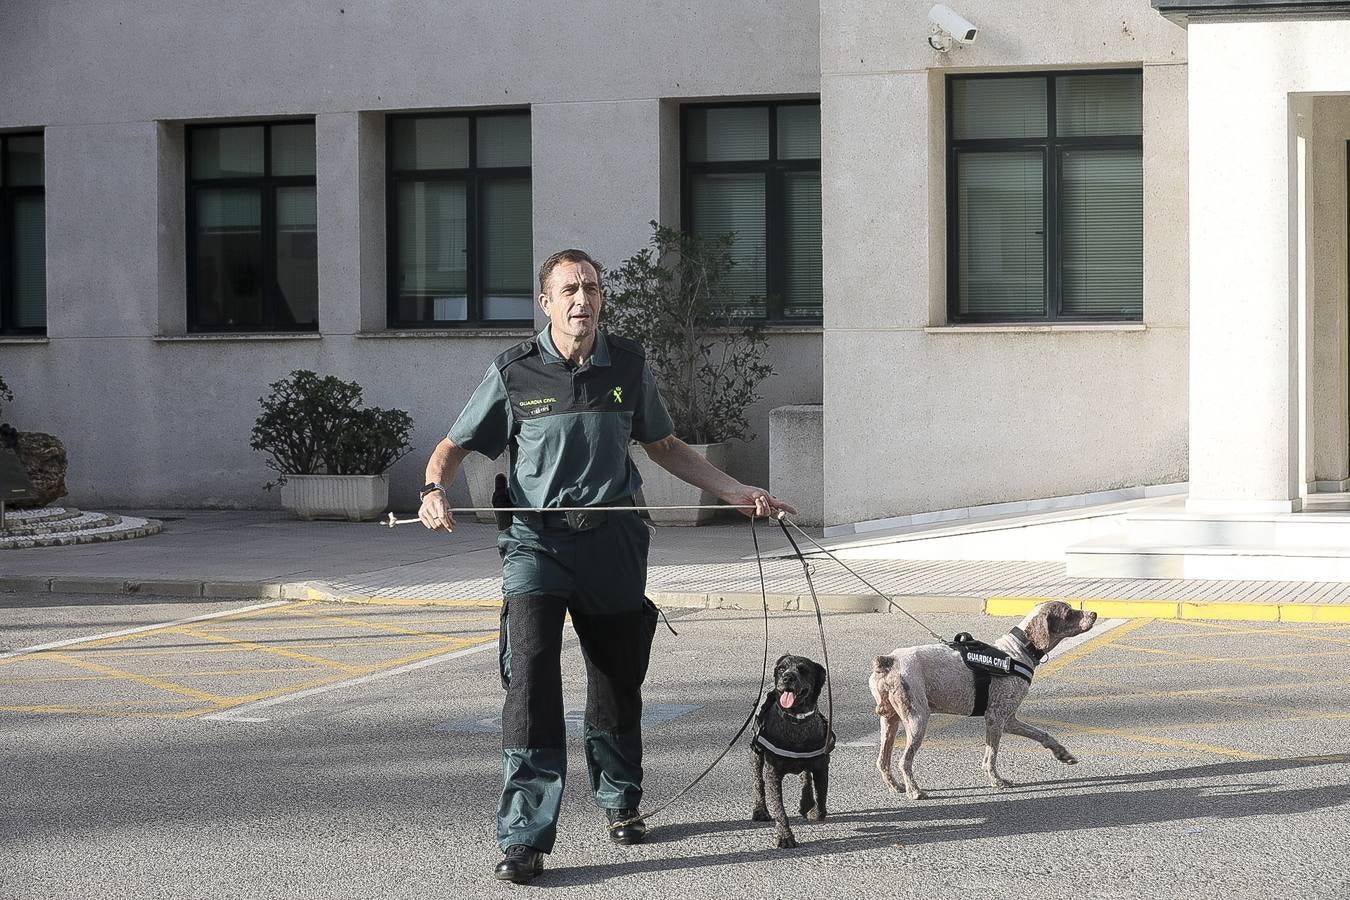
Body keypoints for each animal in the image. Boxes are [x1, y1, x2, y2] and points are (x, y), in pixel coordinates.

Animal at [750, 650, 831, 847]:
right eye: (782, 668)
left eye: (803, 670)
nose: (787, 677)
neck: (796, 721)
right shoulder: (773, 774)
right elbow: (779, 809)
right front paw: (785, 836)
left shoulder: (821, 767)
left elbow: (822, 798)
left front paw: (813, 810)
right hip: (756, 755)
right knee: (758, 782)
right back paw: (760, 810)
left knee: (805, 776)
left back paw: (806, 802)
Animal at [869, 601, 1090, 798]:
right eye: (1069, 613)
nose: (1094, 613)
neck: (1018, 651)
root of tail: (889, 661)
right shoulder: (995, 717)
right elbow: (990, 757)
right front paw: (996, 781)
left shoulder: (1008, 720)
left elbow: (1043, 734)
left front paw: (1062, 753)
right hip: (917, 720)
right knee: (904, 761)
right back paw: (914, 791)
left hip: (890, 720)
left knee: (882, 761)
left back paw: (896, 786)